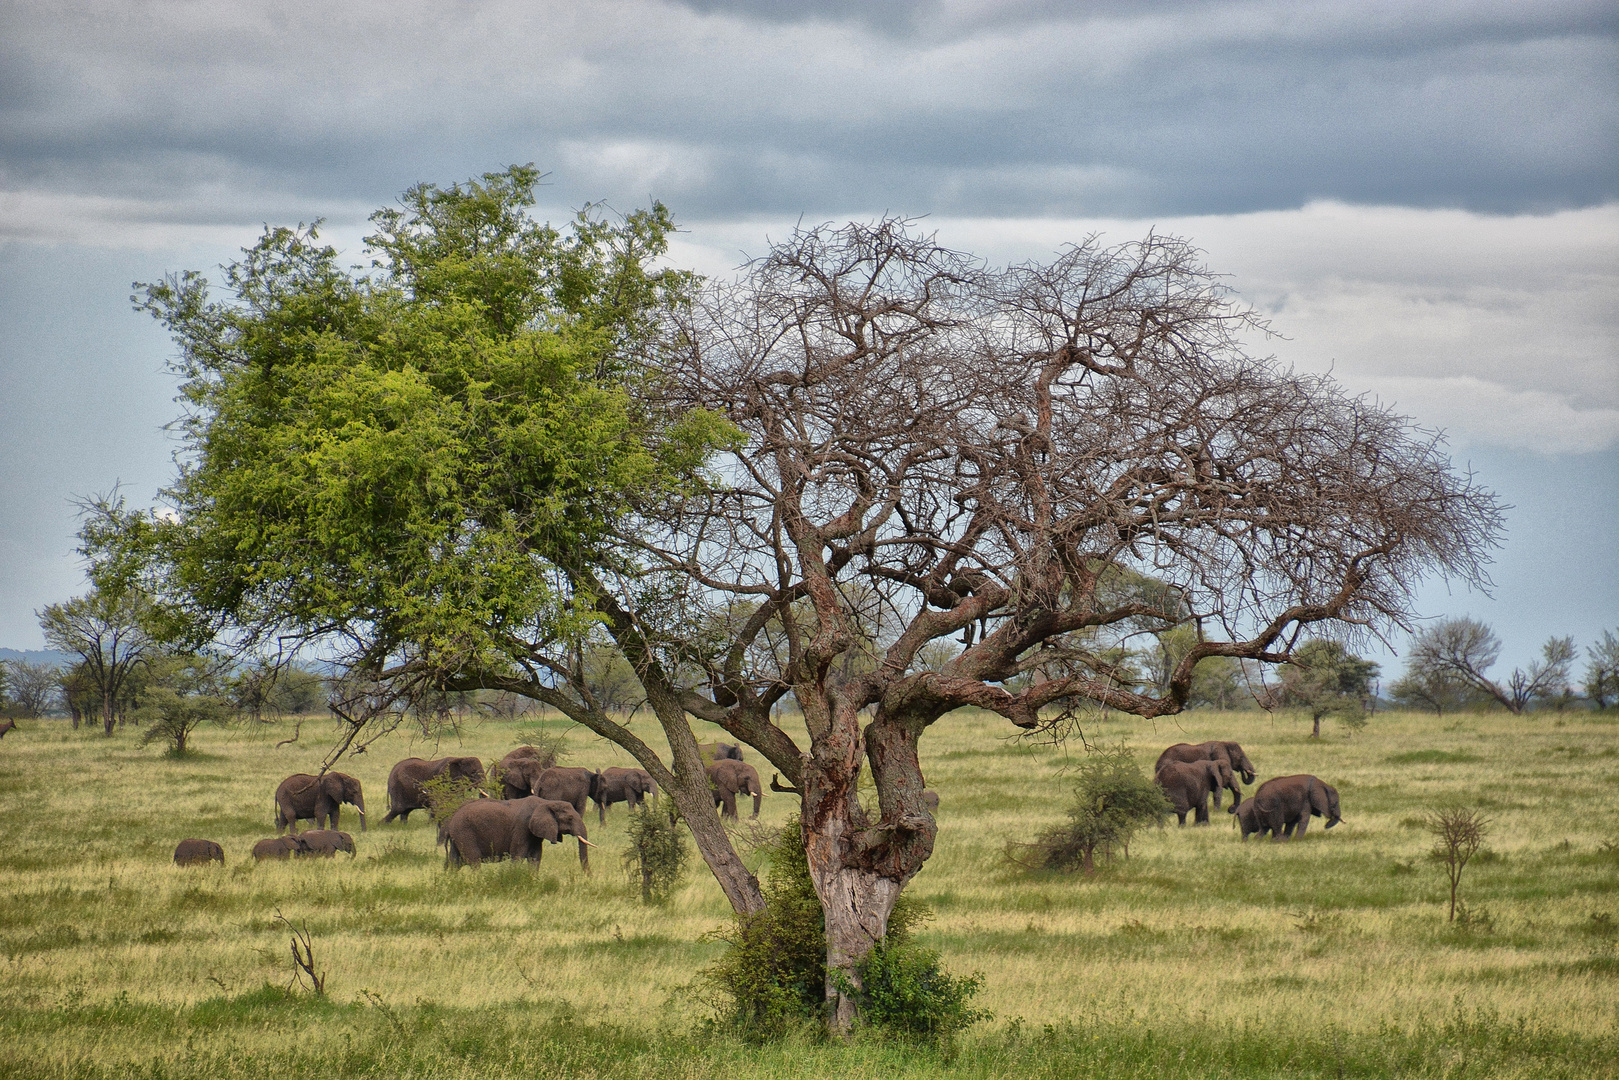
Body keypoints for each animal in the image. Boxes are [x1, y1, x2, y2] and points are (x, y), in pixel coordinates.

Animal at [440, 799, 592, 874]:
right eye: (570, 818)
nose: (587, 877)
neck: (547, 802)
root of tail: (451, 820)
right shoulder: (522, 827)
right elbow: (518, 855)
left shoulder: (534, 833)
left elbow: (536, 857)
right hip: (464, 833)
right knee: (474, 861)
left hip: (458, 837)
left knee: (455, 862)